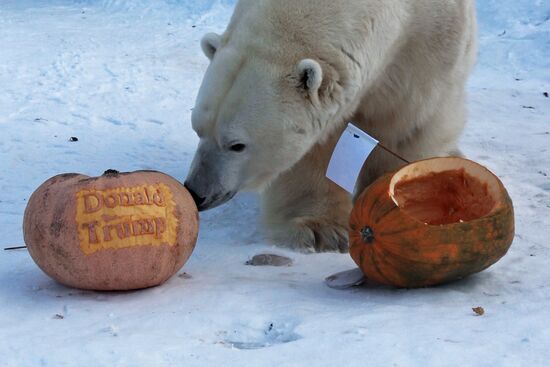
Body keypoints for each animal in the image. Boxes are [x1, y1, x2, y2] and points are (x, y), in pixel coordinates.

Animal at [185, 0, 478, 253]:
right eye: (198, 129)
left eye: (237, 145)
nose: (196, 192)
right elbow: (319, 146)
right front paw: (318, 230)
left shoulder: (427, 48)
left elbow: (404, 127)